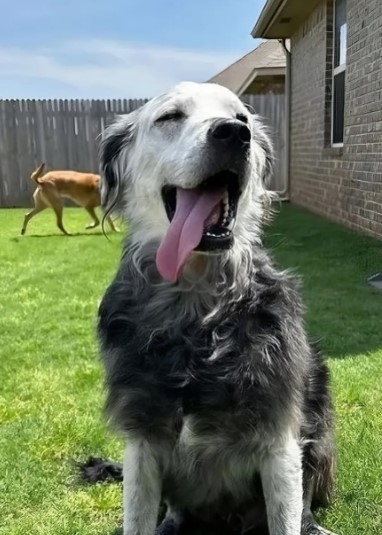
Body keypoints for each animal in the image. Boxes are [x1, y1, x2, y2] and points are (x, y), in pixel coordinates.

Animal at [88, 81, 336, 532]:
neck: (197, 312)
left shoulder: (280, 442)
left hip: (320, 429)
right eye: (170, 117)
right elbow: (138, 517)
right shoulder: (142, 440)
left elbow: (288, 516)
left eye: (241, 116)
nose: (234, 134)